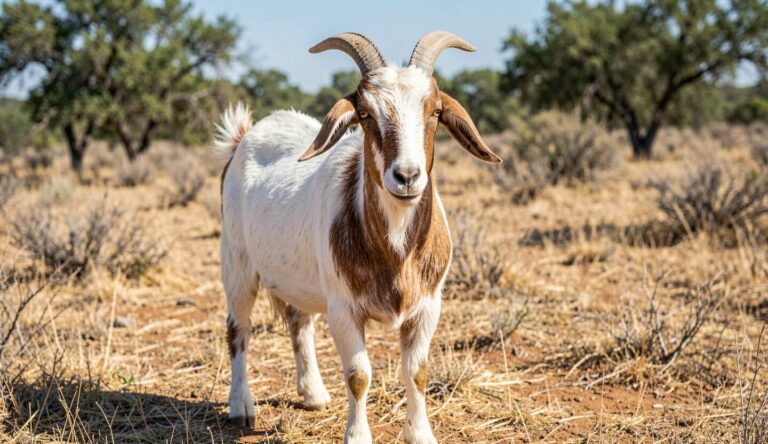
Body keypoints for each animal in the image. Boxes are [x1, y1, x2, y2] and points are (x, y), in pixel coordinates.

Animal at [214, 31, 502, 444]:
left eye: (434, 112)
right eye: (365, 114)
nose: (407, 176)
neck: (396, 255)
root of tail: (241, 140)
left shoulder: (428, 306)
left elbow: (417, 371)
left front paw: (420, 434)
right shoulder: (344, 309)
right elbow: (358, 375)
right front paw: (358, 436)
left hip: (297, 275)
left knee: (299, 322)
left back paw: (313, 394)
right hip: (237, 263)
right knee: (238, 328)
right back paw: (241, 406)